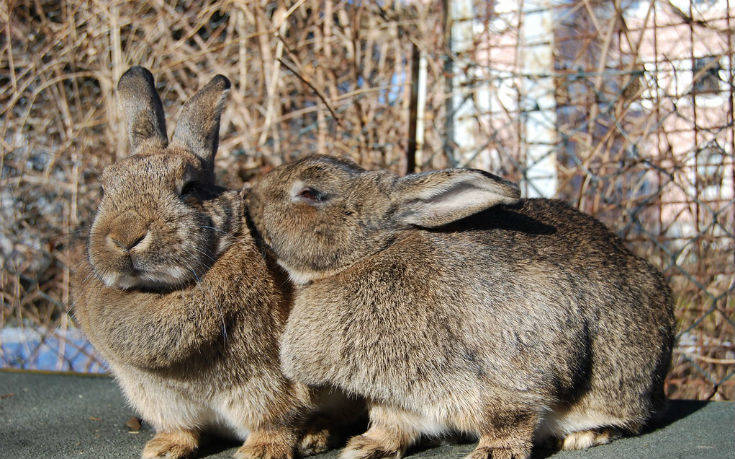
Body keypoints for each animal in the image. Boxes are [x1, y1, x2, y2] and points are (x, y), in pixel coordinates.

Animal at [72, 68, 360, 459]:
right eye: (104, 188)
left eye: (189, 188)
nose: (125, 237)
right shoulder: (161, 398)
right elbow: (181, 428)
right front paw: (164, 448)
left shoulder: (269, 382)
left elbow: (278, 419)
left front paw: (262, 451)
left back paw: (316, 435)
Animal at [246, 155, 680, 459]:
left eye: (310, 193)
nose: (249, 196)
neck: (366, 255)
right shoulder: (393, 397)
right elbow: (390, 424)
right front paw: (366, 447)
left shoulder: (516, 368)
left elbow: (512, 417)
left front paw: (492, 453)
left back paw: (586, 435)